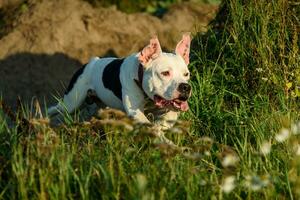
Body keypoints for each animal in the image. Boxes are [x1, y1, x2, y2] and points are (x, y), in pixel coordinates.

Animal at [47, 33, 192, 138]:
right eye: (165, 73)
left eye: (186, 74)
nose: (185, 87)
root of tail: (90, 63)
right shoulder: (136, 112)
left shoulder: (170, 111)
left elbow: (161, 124)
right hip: (71, 103)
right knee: (55, 109)